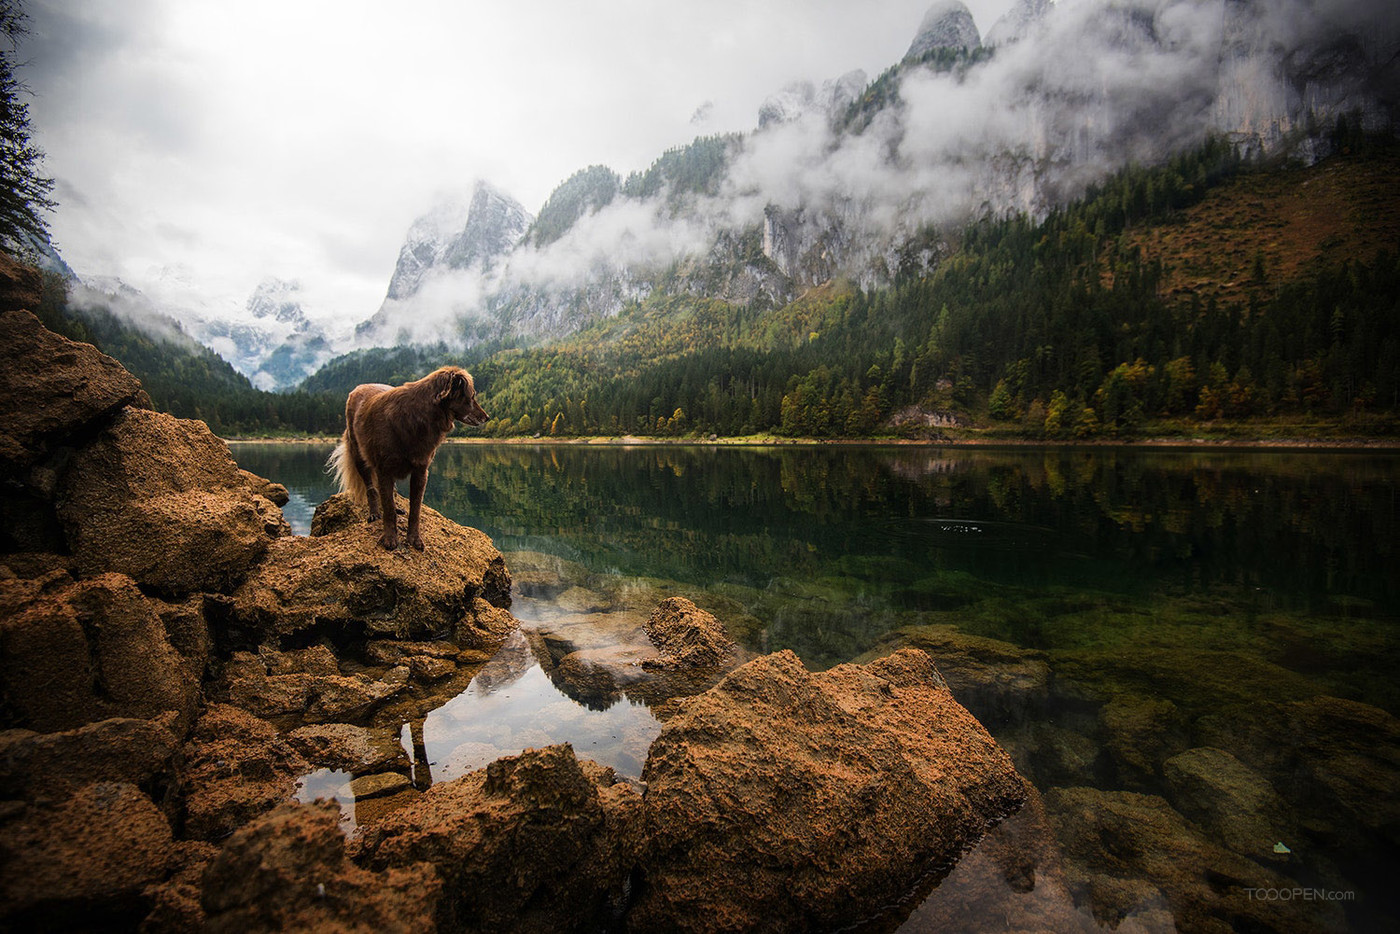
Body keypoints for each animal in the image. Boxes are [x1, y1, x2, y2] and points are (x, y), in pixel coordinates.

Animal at [324, 364, 490, 551]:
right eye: (472, 396)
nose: (487, 417)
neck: (418, 417)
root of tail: (361, 386)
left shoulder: (420, 471)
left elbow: (414, 509)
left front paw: (414, 539)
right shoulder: (384, 470)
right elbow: (388, 508)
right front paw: (390, 538)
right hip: (358, 455)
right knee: (371, 488)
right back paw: (374, 513)